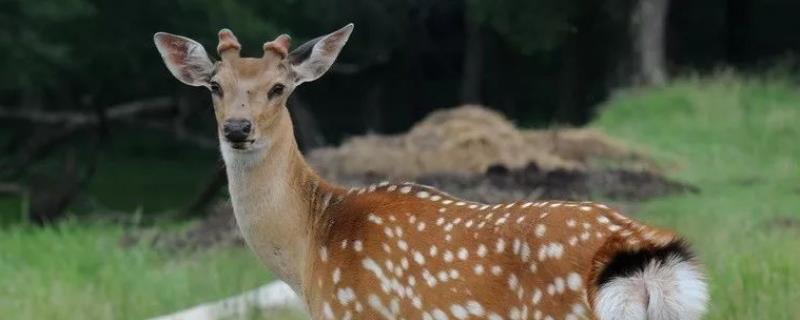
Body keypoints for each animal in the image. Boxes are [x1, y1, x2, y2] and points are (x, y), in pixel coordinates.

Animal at [153, 23, 708, 318]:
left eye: (278, 87)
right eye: (215, 86)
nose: (238, 128)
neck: (309, 255)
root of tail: (645, 257)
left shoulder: (358, 307)